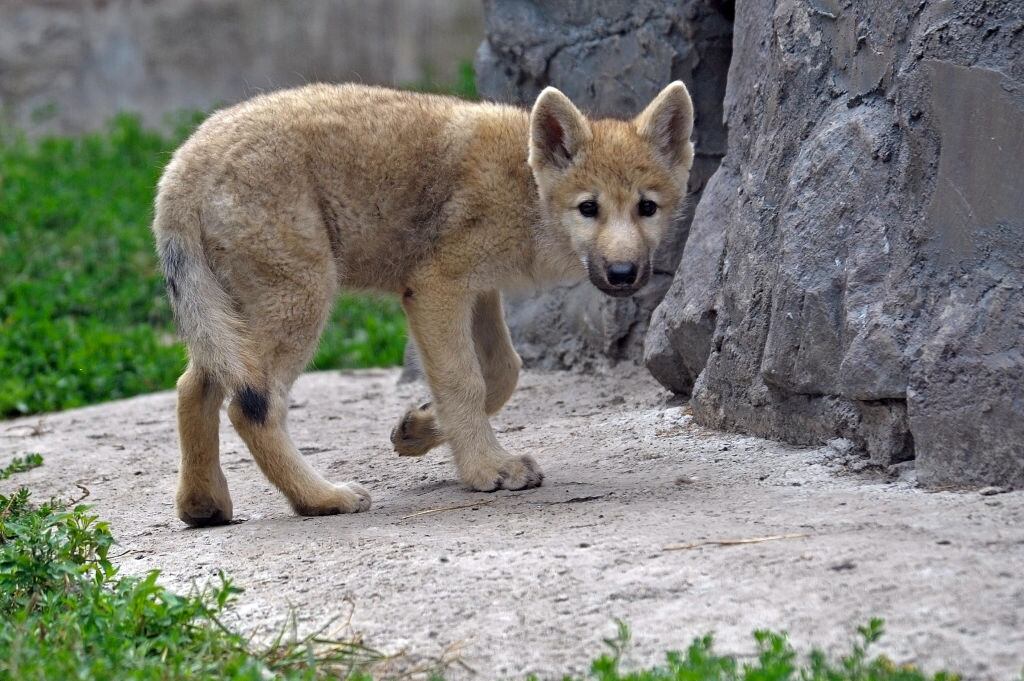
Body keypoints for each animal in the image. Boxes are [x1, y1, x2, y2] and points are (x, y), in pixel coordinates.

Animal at [153, 81, 694, 526]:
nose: (623, 274)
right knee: (253, 408)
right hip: (301, 303)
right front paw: (487, 469)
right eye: (589, 208)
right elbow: (466, 382)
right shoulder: (437, 288)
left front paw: (416, 429)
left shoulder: (478, 291)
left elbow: (501, 373)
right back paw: (322, 499)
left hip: (235, 321)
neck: (523, 187)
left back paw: (203, 505)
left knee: (192, 388)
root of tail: (183, 164)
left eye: (647, 208)